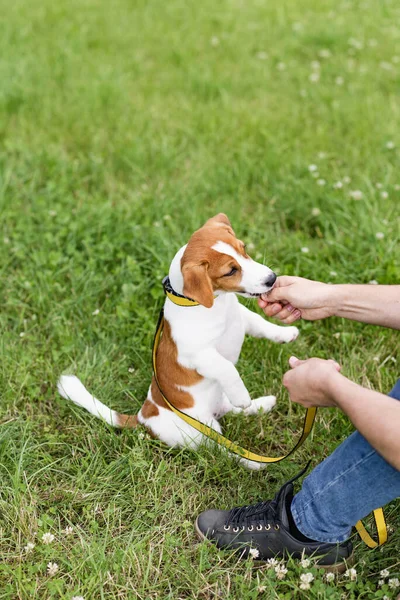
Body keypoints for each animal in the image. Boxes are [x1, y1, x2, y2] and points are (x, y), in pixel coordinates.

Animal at [57, 214, 298, 468]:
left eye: (244, 249)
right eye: (231, 271)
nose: (272, 279)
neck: (215, 305)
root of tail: (145, 416)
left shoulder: (242, 318)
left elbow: (261, 324)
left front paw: (286, 333)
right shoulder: (199, 355)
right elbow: (227, 368)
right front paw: (242, 395)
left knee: (230, 411)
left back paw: (262, 404)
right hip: (202, 434)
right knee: (222, 450)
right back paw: (252, 462)